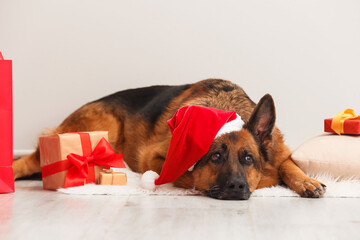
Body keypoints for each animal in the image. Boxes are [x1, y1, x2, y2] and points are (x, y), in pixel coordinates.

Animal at [13, 79, 326, 200]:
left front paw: (306, 181)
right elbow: (188, 175)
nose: (237, 186)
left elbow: (287, 164)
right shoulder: (157, 158)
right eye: (216, 156)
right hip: (107, 127)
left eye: (248, 158)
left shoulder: (279, 150)